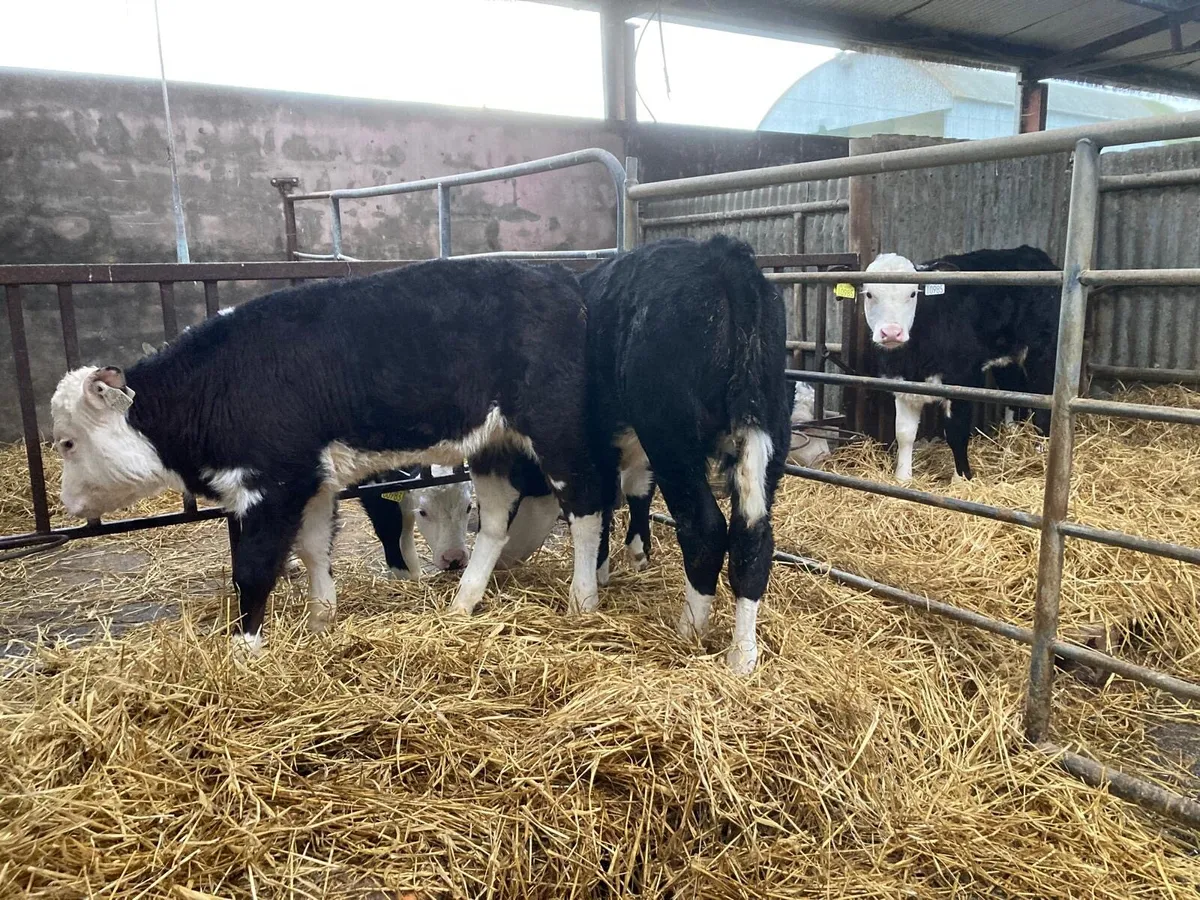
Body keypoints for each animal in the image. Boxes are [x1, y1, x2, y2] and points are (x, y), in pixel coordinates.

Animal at [50, 258, 605, 652]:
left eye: (67, 441)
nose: (69, 504)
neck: (218, 385)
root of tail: (557, 276)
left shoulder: (268, 487)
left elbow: (254, 568)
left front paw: (244, 654)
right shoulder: (310, 481)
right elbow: (315, 549)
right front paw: (322, 622)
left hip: (557, 430)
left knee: (585, 509)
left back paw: (583, 600)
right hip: (490, 446)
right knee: (492, 523)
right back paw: (462, 602)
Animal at [582, 235, 790, 674]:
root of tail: (725, 258)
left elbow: (608, 498)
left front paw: (602, 566)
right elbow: (637, 490)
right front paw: (637, 553)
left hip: (672, 434)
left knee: (704, 528)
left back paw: (689, 629)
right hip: (770, 424)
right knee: (753, 539)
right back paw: (742, 655)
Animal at [861, 245, 1060, 482]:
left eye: (912, 293)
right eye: (869, 294)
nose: (892, 332)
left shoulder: (962, 380)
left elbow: (956, 433)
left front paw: (961, 479)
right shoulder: (901, 383)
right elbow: (904, 433)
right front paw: (902, 478)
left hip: (1043, 353)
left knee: (1043, 402)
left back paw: (1041, 453)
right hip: (1007, 360)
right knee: (1014, 395)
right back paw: (1011, 443)